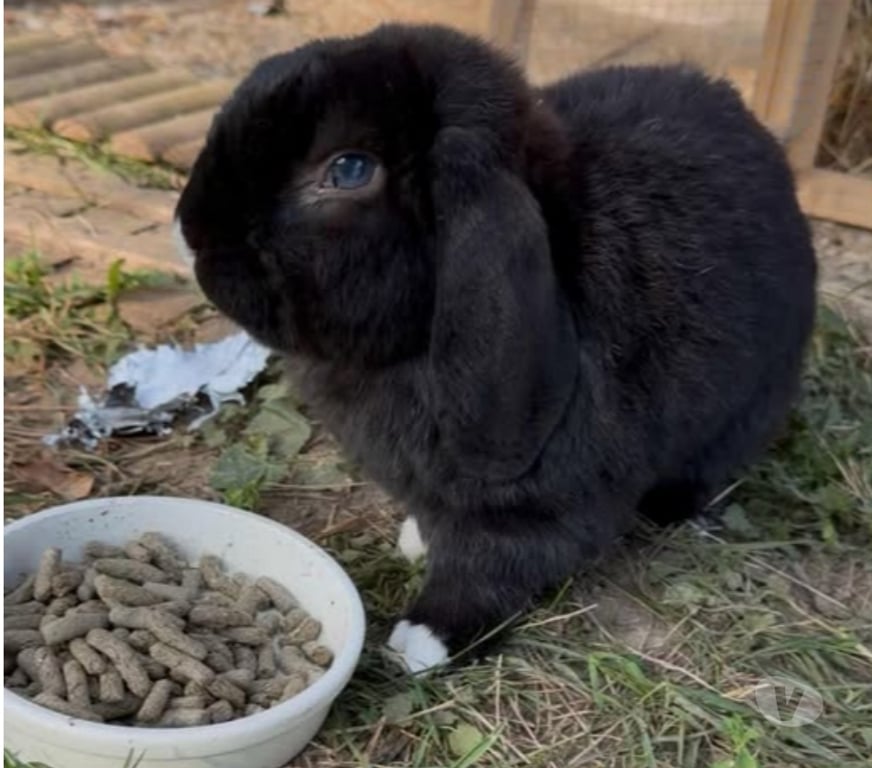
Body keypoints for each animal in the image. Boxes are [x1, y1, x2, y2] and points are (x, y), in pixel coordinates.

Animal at [174, 23, 817, 673]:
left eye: (350, 169)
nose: (189, 231)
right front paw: (416, 538)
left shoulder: (535, 510)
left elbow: (495, 566)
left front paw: (424, 639)